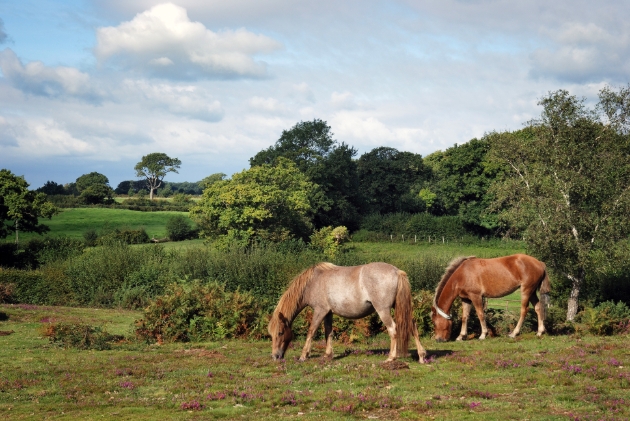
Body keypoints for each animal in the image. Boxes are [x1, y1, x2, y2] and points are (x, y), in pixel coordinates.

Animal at [270, 262, 428, 360]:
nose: (275, 356)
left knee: (392, 329)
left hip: (383, 310)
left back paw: (391, 357)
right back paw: (421, 355)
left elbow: (311, 331)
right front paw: (328, 355)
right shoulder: (328, 313)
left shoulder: (320, 310)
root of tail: (397, 271)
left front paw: (304, 355)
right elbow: (328, 333)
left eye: (280, 333)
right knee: (412, 325)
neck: (312, 281)